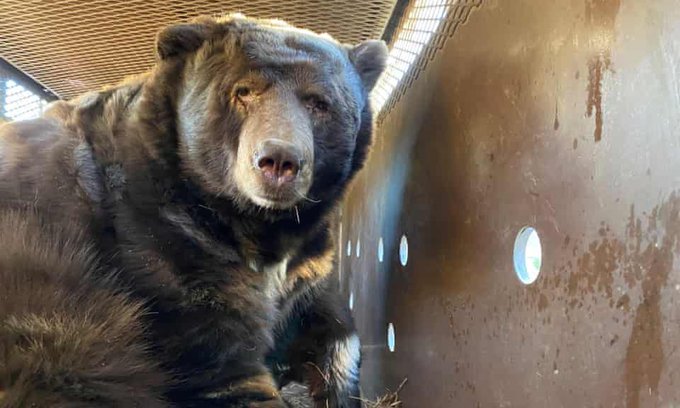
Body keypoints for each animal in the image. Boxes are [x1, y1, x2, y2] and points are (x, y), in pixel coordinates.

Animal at [0, 14, 387, 408]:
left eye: (319, 103)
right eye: (243, 92)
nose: (279, 160)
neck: (256, 225)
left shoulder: (307, 264)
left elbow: (331, 318)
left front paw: (337, 386)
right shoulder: (166, 246)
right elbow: (221, 363)